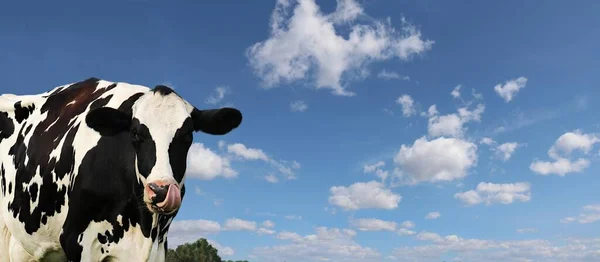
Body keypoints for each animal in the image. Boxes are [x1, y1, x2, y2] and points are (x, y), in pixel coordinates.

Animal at [1, 77, 244, 260]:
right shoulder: (76, 239)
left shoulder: (158, 246)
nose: (161, 190)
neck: (142, 225)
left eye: (188, 135)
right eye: (135, 133)